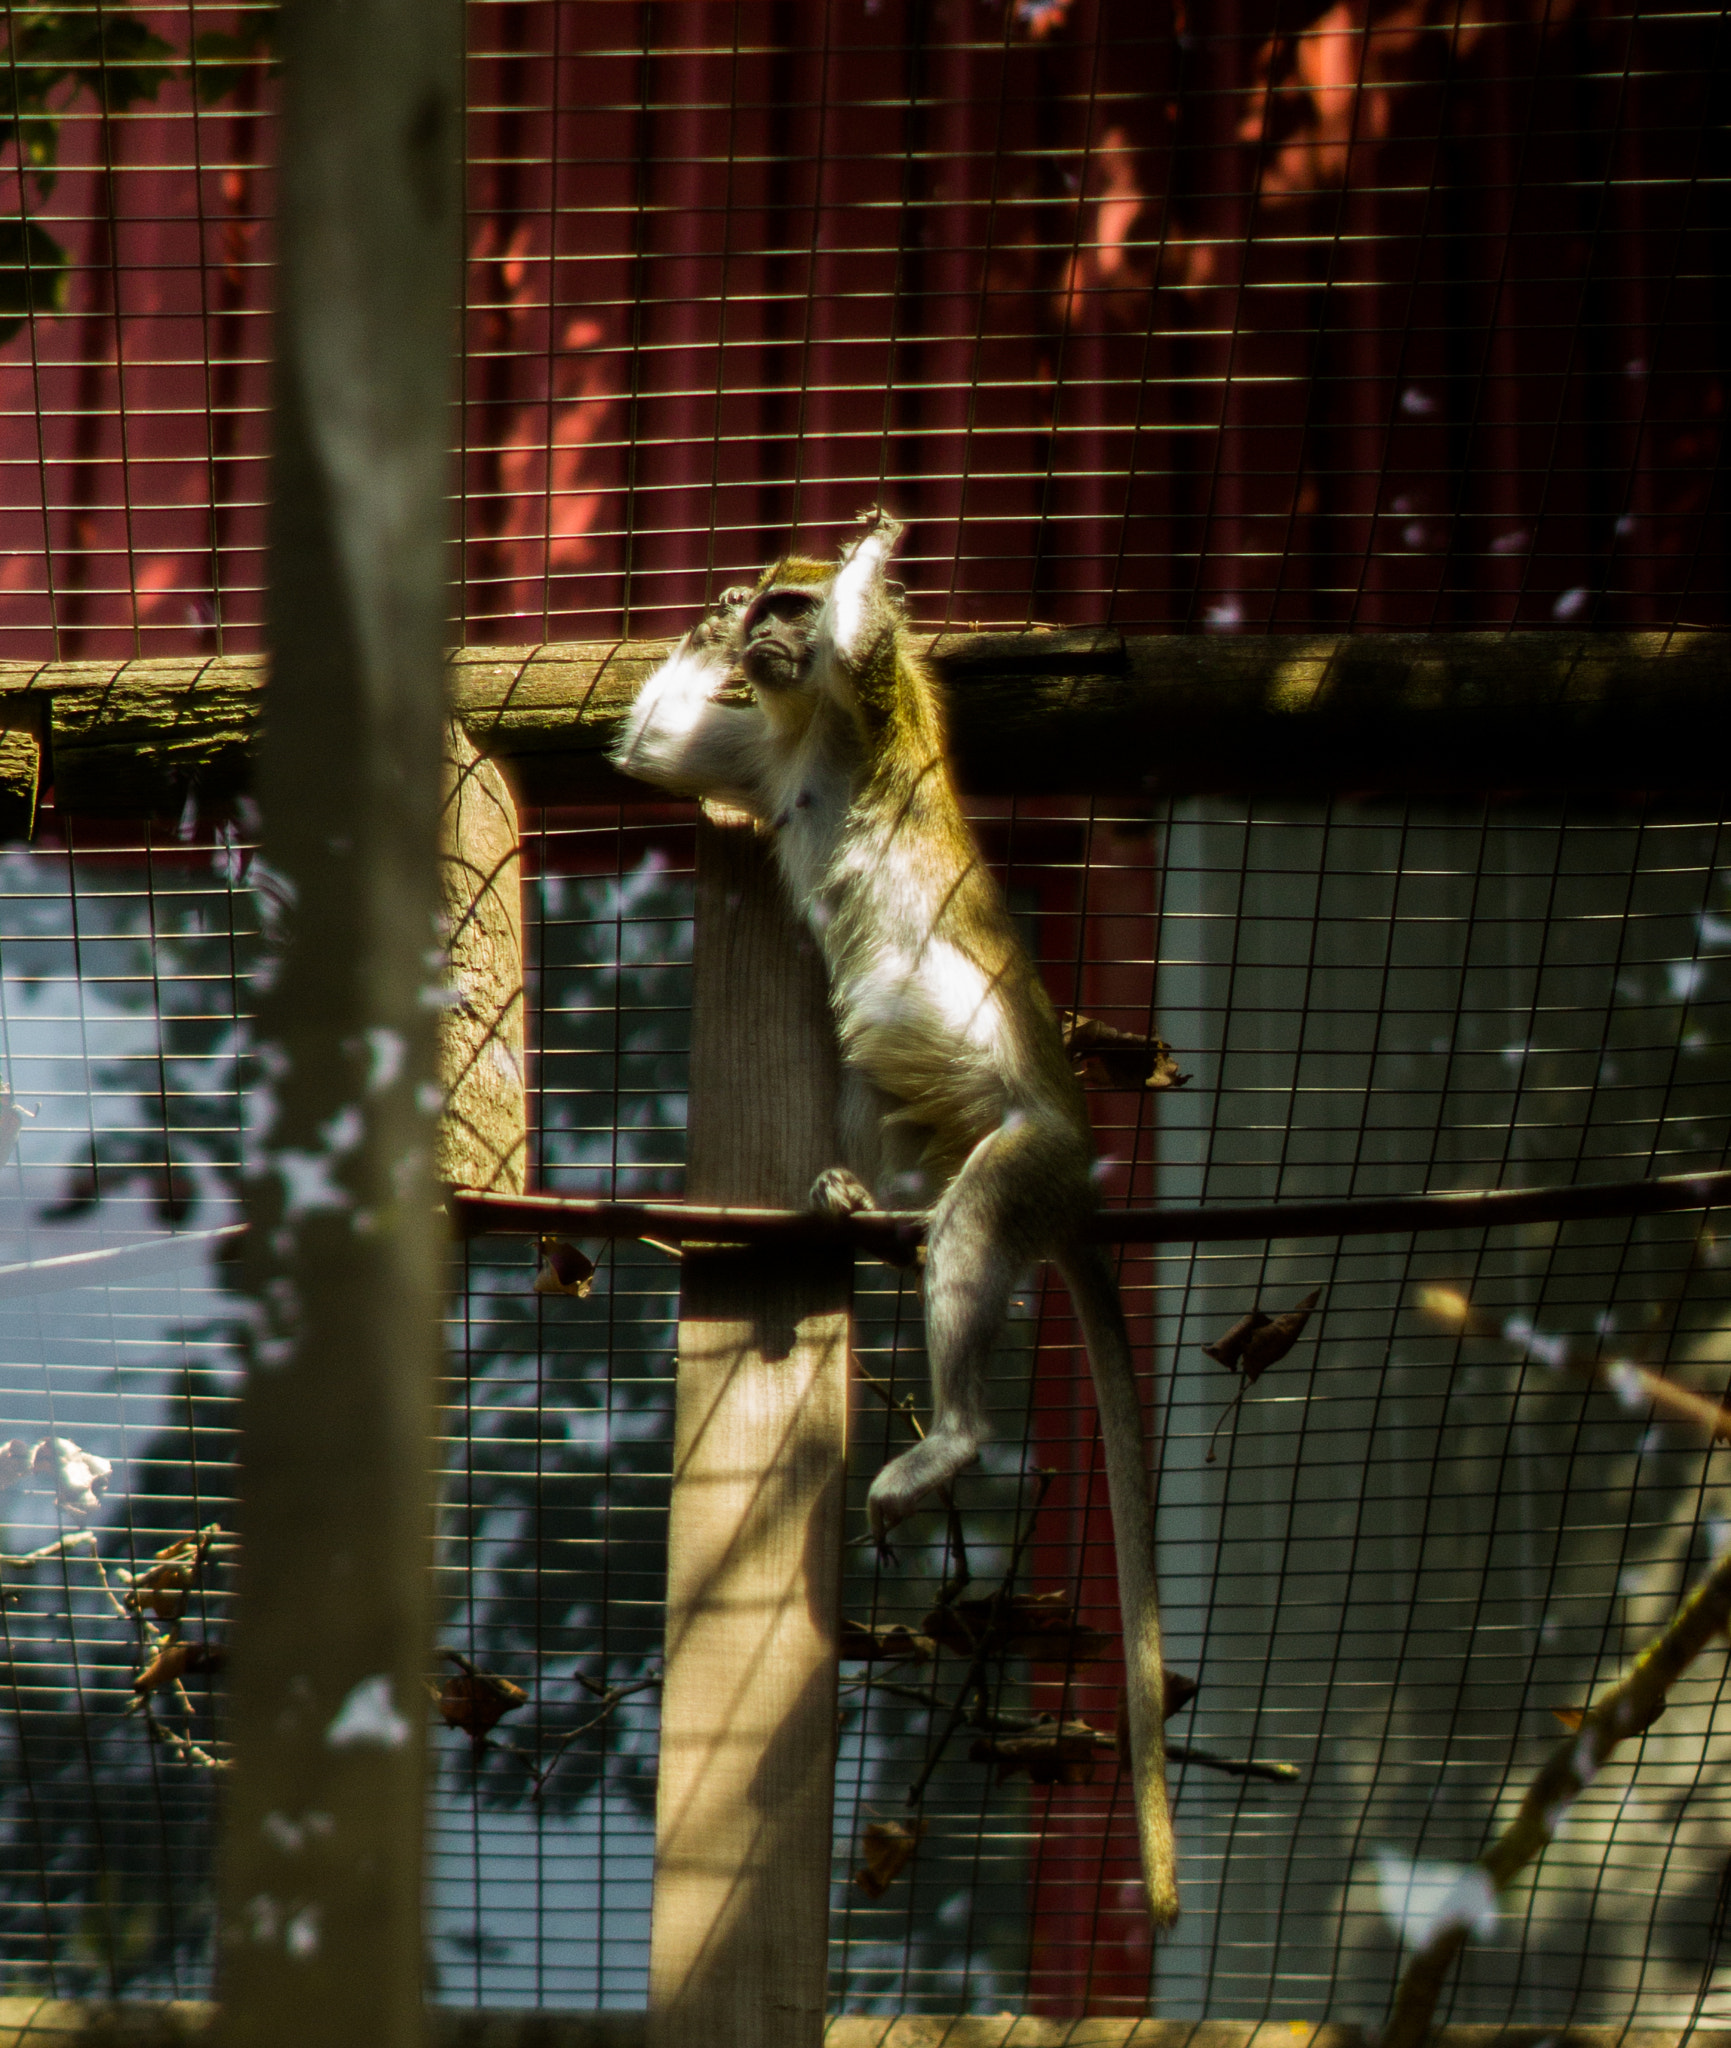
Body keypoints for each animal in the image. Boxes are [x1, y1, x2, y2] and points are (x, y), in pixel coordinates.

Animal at [610, 511, 1178, 1927]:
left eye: (791, 608)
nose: (761, 627)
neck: (813, 728)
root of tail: (1076, 1173)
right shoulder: (769, 751)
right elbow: (664, 753)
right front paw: (709, 616)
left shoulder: (874, 705)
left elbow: (871, 641)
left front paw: (866, 556)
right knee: (881, 1098)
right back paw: (861, 1199)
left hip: (1027, 1153)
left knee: (976, 1228)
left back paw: (958, 1435)